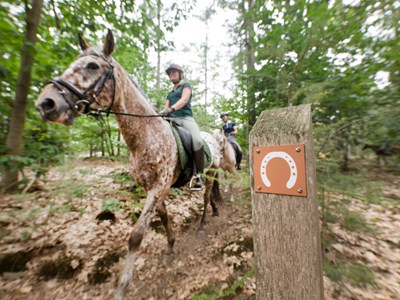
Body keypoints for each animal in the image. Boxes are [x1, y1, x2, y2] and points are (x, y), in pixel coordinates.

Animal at [34, 29, 227, 300]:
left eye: (92, 66)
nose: (46, 103)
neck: (147, 136)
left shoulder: (159, 187)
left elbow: (136, 236)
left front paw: (123, 285)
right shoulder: (152, 189)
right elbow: (164, 217)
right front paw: (170, 247)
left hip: (209, 173)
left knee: (206, 195)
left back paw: (202, 225)